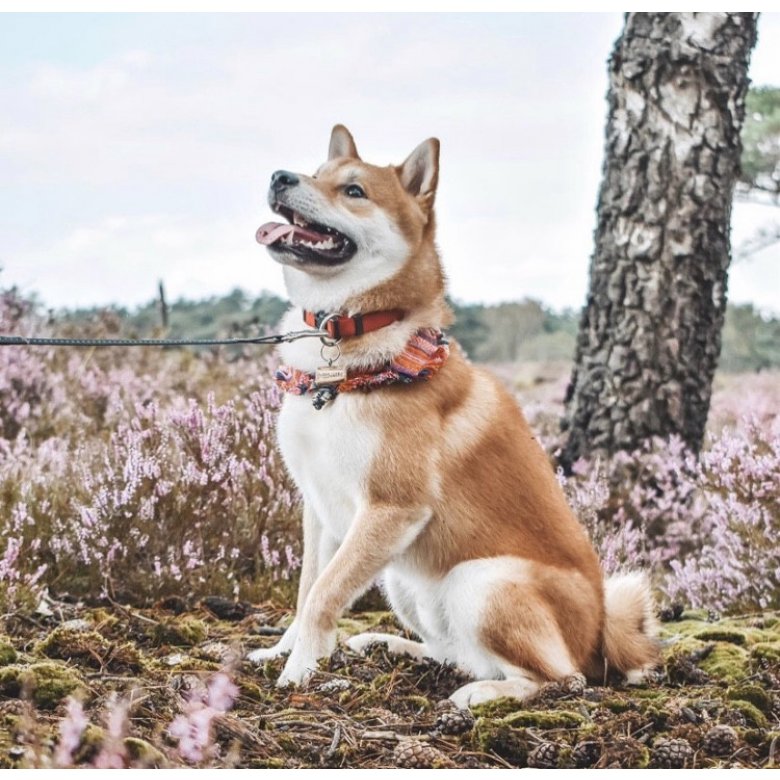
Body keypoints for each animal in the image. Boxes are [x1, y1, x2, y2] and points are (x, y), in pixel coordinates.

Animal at [248, 123, 660, 708]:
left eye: (353, 191)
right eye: (315, 172)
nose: (281, 177)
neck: (347, 354)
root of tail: (602, 632)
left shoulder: (391, 507)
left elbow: (324, 594)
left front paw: (299, 671)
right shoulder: (322, 509)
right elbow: (307, 590)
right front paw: (283, 652)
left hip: (482, 582)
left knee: (560, 678)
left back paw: (480, 694)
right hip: (404, 580)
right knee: (456, 653)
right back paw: (391, 646)